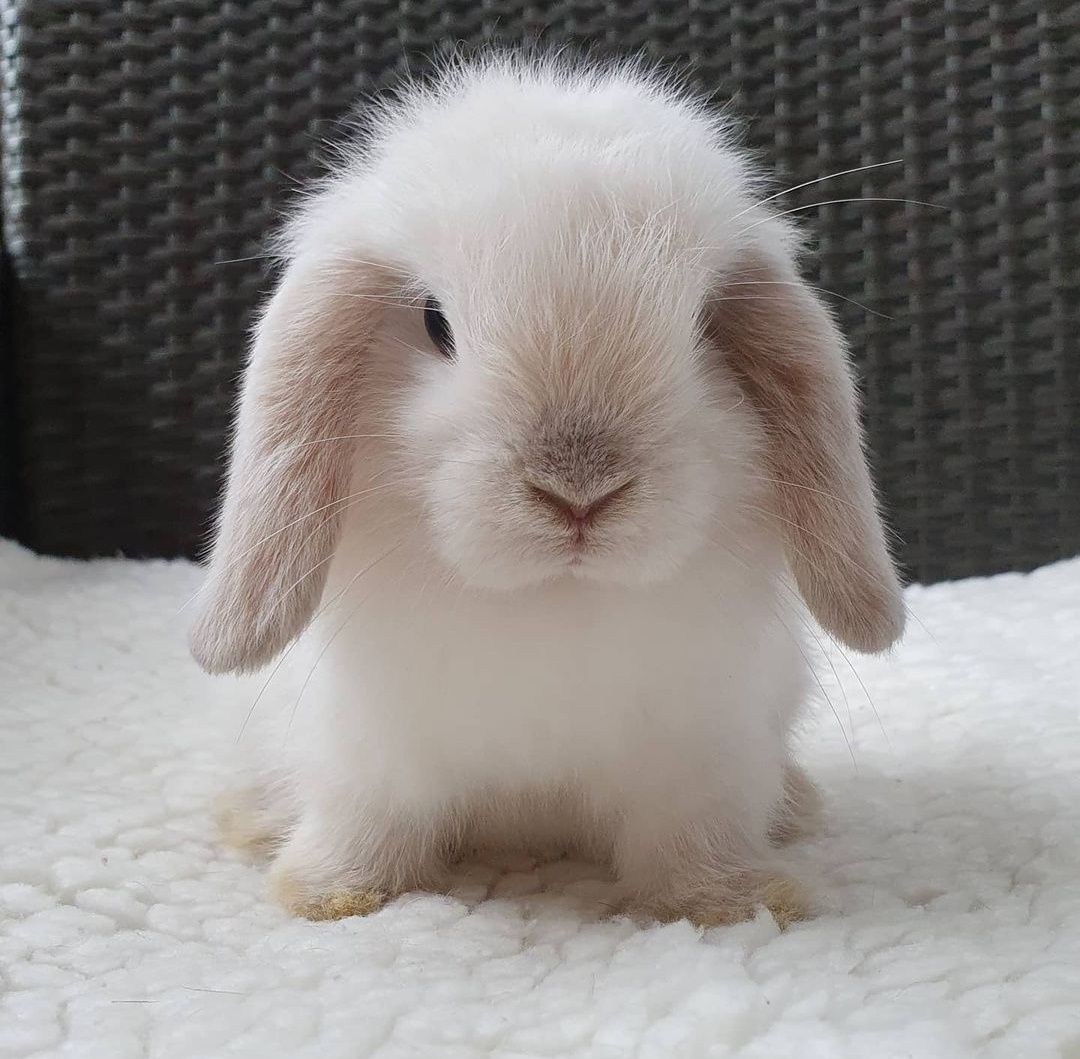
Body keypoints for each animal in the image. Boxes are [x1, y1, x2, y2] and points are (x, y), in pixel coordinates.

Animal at [192, 53, 902, 919]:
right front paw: (329, 893)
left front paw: (735, 900)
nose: (579, 491)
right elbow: (367, 822)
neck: (553, 598)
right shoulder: (370, 752)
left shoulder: (704, 755)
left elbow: (691, 841)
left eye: (702, 325)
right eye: (436, 322)